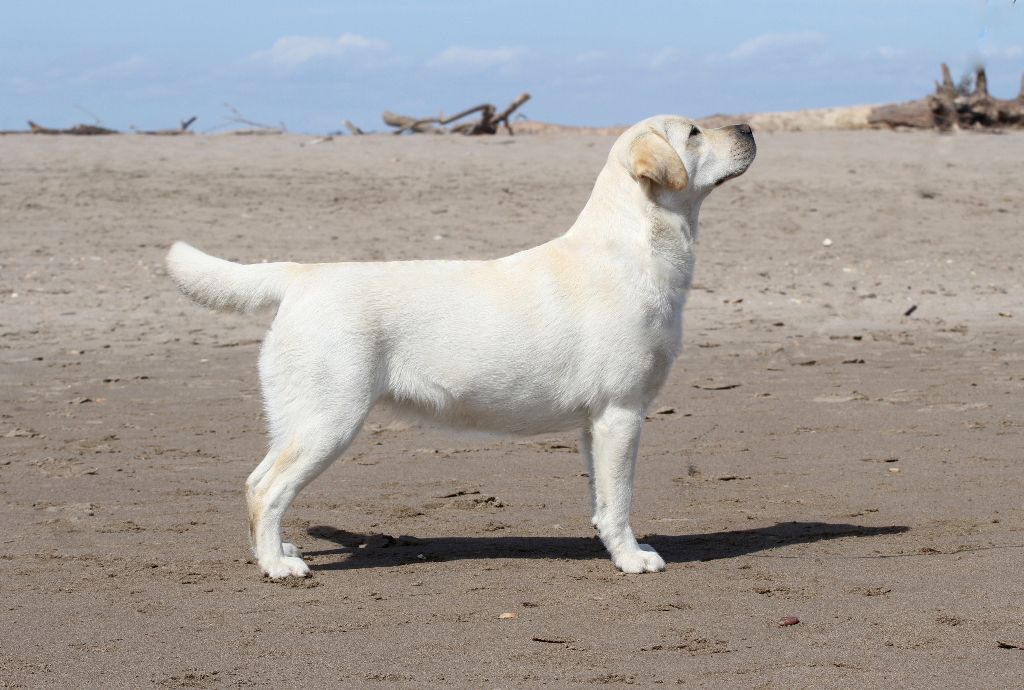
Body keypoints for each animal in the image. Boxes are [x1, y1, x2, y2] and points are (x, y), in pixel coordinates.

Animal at [167, 115, 757, 577]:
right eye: (695, 132)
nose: (750, 127)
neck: (635, 251)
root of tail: (301, 274)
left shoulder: (594, 424)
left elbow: (600, 499)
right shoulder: (621, 412)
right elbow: (620, 500)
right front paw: (632, 558)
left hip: (298, 417)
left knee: (254, 481)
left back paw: (276, 550)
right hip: (328, 419)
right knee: (266, 490)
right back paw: (277, 566)